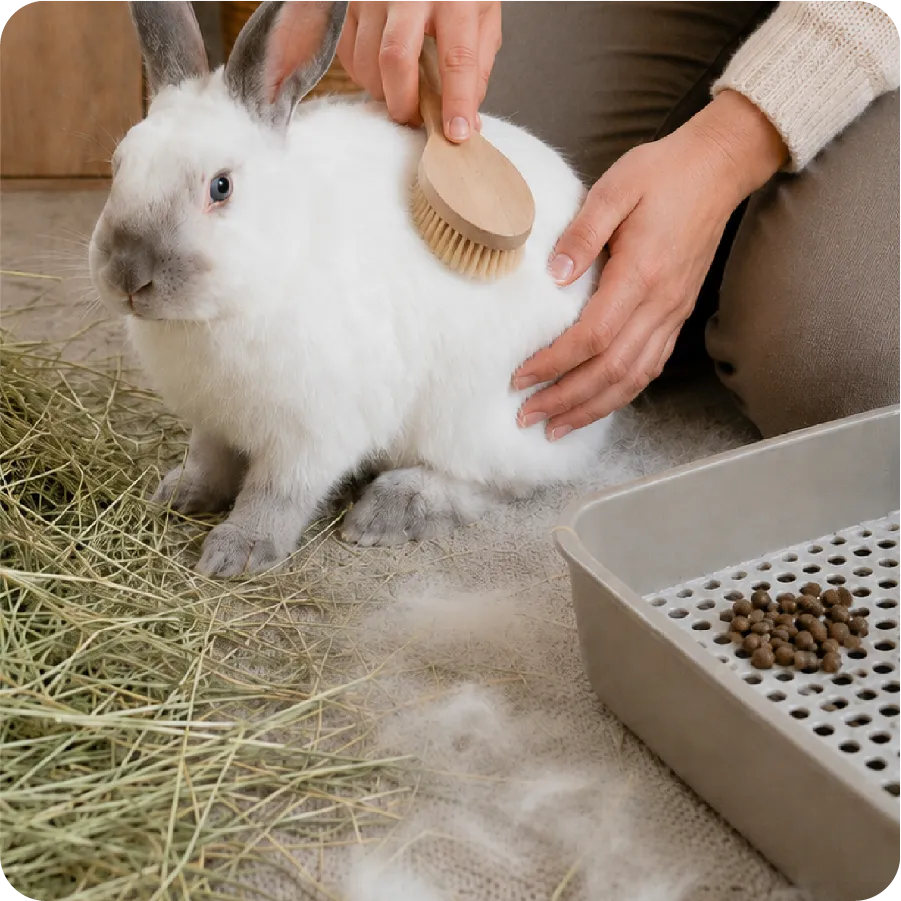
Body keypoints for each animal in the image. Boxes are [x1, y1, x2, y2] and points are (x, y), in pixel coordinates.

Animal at [88, 0, 615, 578]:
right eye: (118, 165)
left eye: (220, 187)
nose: (127, 276)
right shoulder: (212, 422)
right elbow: (209, 461)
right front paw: (178, 495)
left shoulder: (313, 433)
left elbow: (276, 493)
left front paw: (235, 552)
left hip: (482, 418)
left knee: (493, 482)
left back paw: (389, 513)